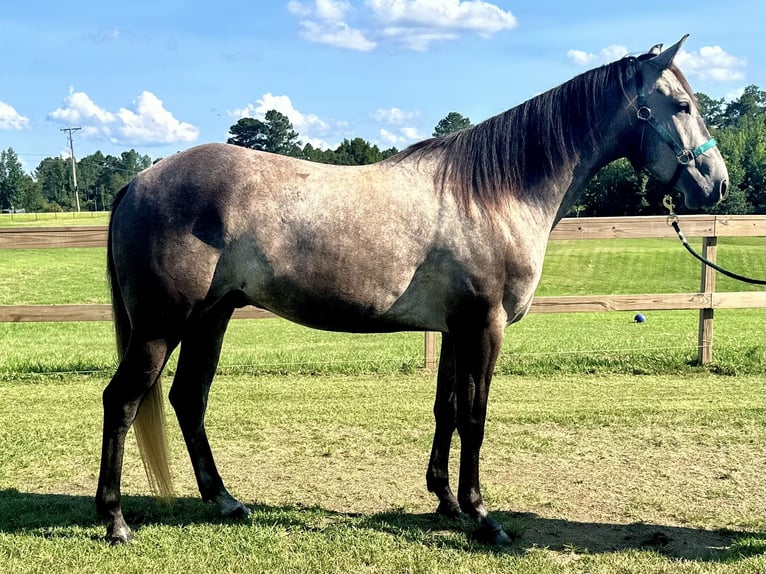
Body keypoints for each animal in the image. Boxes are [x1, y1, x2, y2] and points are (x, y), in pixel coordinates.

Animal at [96, 35, 728, 544]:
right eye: (682, 106)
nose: (716, 185)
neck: (493, 194)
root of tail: (141, 181)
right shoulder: (484, 327)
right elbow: (475, 416)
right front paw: (483, 517)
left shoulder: (454, 329)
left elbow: (445, 409)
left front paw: (446, 501)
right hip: (162, 326)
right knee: (122, 401)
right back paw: (116, 521)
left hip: (212, 316)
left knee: (188, 399)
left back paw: (225, 501)